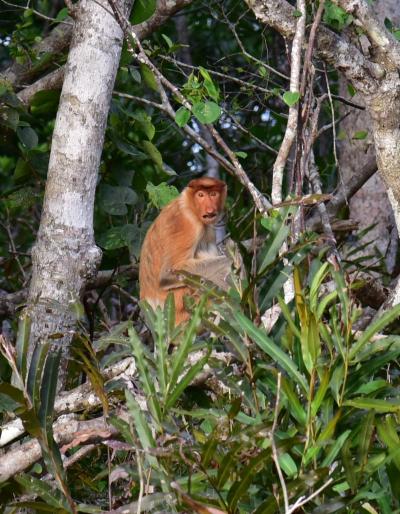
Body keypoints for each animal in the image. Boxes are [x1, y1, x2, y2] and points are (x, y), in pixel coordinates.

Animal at [139, 176, 231, 320]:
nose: (210, 210)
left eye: (213, 194)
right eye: (200, 195)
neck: (189, 206)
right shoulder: (190, 225)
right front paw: (230, 263)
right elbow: (170, 272)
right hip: (180, 304)